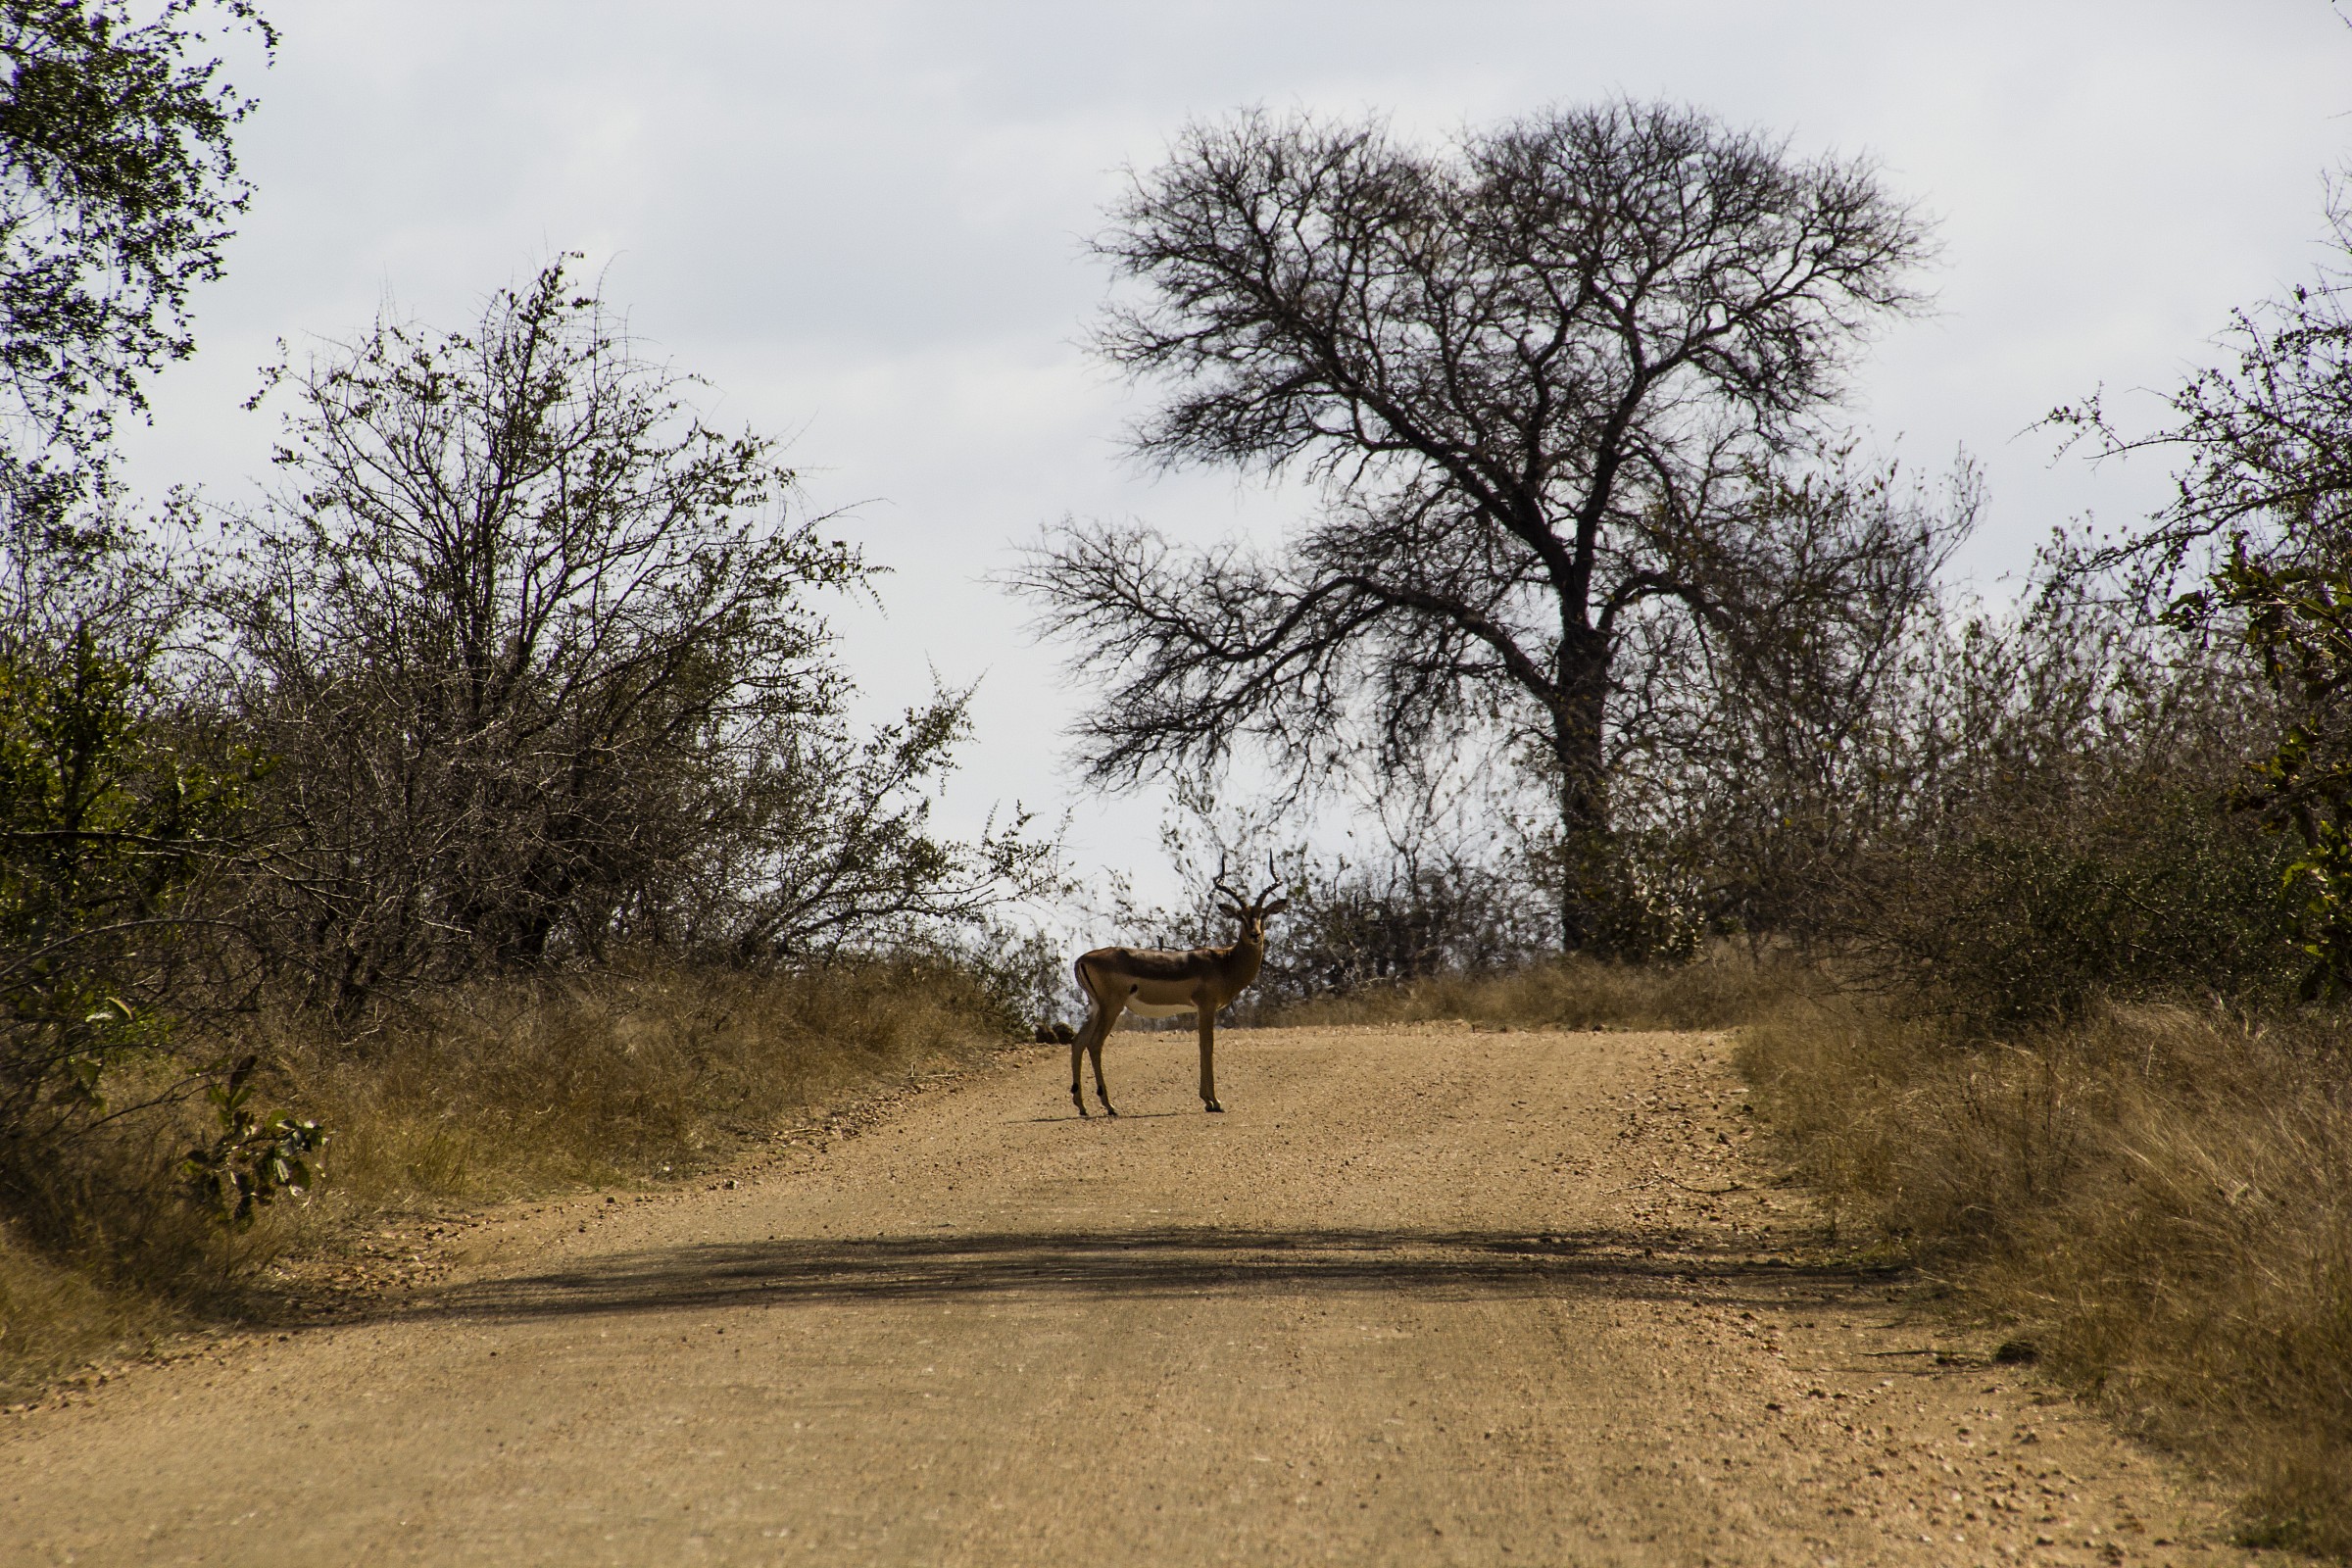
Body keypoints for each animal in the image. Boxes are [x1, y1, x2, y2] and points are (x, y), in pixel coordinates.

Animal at [1068, 858, 1289, 1116]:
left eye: (1262, 914)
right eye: (1241, 917)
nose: (1255, 935)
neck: (1225, 962)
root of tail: (1082, 959)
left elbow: (1203, 1047)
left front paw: (1207, 1100)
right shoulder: (1206, 1007)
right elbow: (1207, 1047)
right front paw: (1214, 1101)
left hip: (1095, 1008)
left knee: (1078, 1042)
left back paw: (1082, 1106)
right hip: (1112, 1007)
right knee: (1094, 1044)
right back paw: (1109, 1105)